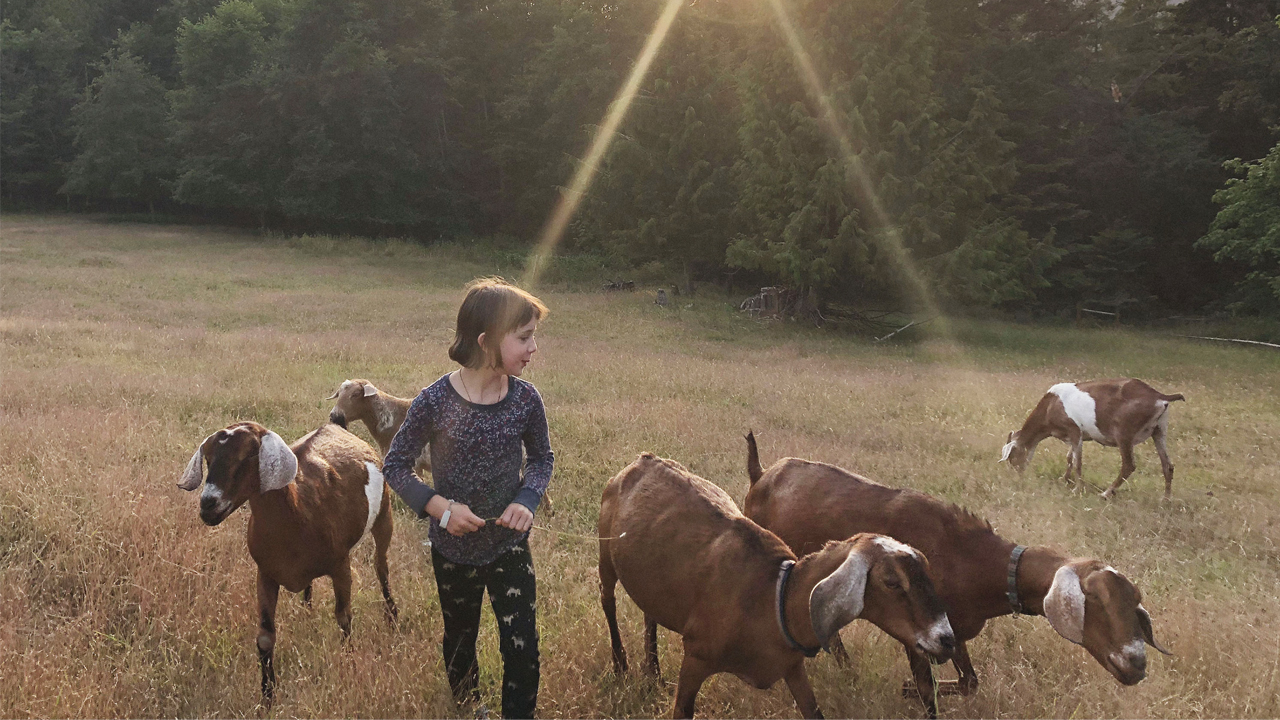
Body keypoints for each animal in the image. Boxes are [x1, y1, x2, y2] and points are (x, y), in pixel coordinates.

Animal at [175, 417, 394, 702]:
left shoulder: (341, 565)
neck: (299, 511)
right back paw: (307, 611)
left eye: (249, 455)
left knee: (382, 567)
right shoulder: (266, 574)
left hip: (384, 517)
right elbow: (265, 637)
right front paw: (267, 697)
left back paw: (392, 617)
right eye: (208, 459)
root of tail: (337, 425)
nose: (208, 504)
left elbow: (344, 617)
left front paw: (350, 664)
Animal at [596, 450, 952, 712]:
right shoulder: (696, 657)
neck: (773, 598)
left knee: (649, 615)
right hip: (605, 554)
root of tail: (642, 460)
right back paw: (621, 665)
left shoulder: (792, 669)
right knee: (608, 600)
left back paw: (653, 671)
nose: (946, 638)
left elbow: (813, 710)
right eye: (891, 581)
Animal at [742, 427, 1172, 712]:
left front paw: (906, 689)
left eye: (1135, 604)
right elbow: (928, 691)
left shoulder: (956, 630)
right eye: (1094, 600)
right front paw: (911, 690)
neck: (975, 561)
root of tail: (761, 475)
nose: (1137, 663)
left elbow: (969, 683)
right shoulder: (916, 633)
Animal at [998, 376, 1187, 499]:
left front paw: (1076, 489)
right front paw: (1064, 479)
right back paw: (1166, 499)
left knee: (1129, 465)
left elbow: (1077, 462)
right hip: (1159, 430)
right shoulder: (1076, 437)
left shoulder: (1074, 431)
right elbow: (1069, 458)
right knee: (1168, 466)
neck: (1050, 405)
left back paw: (1106, 493)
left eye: (1012, 456)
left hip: (1124, 433)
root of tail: (1159, 396)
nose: (1017, 475)